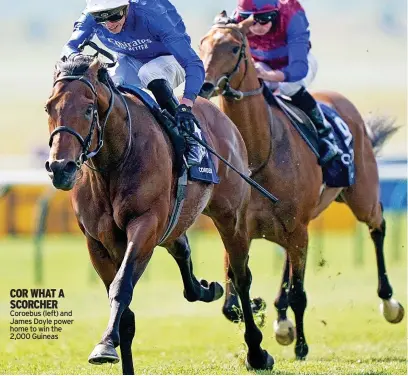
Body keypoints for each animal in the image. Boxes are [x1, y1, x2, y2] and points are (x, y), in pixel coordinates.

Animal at [44, 55, 274, 374]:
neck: (116, 158)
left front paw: (105, 345)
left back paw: (256, 353)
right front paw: (114, 351)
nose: (60, 168)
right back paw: (205, 288)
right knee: (182, 247)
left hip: (232, 218)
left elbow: (122, 286)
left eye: (89, 108)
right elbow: (125, 312)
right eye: (49, 107)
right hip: (173, 221)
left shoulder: (145, 224)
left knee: (240, 276)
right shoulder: (97, 241)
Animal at [198, 14, 404, 360]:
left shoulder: (297, 228)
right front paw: (258, 309)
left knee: (378, 226)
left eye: (235, 47)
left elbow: (299, 294)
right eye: (202, 43)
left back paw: (388, 302)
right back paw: (281, 319)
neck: (257, 153)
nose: (204, 84)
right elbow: (230, 302)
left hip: (359, 198)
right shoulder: (238, 227)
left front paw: (302, 346)